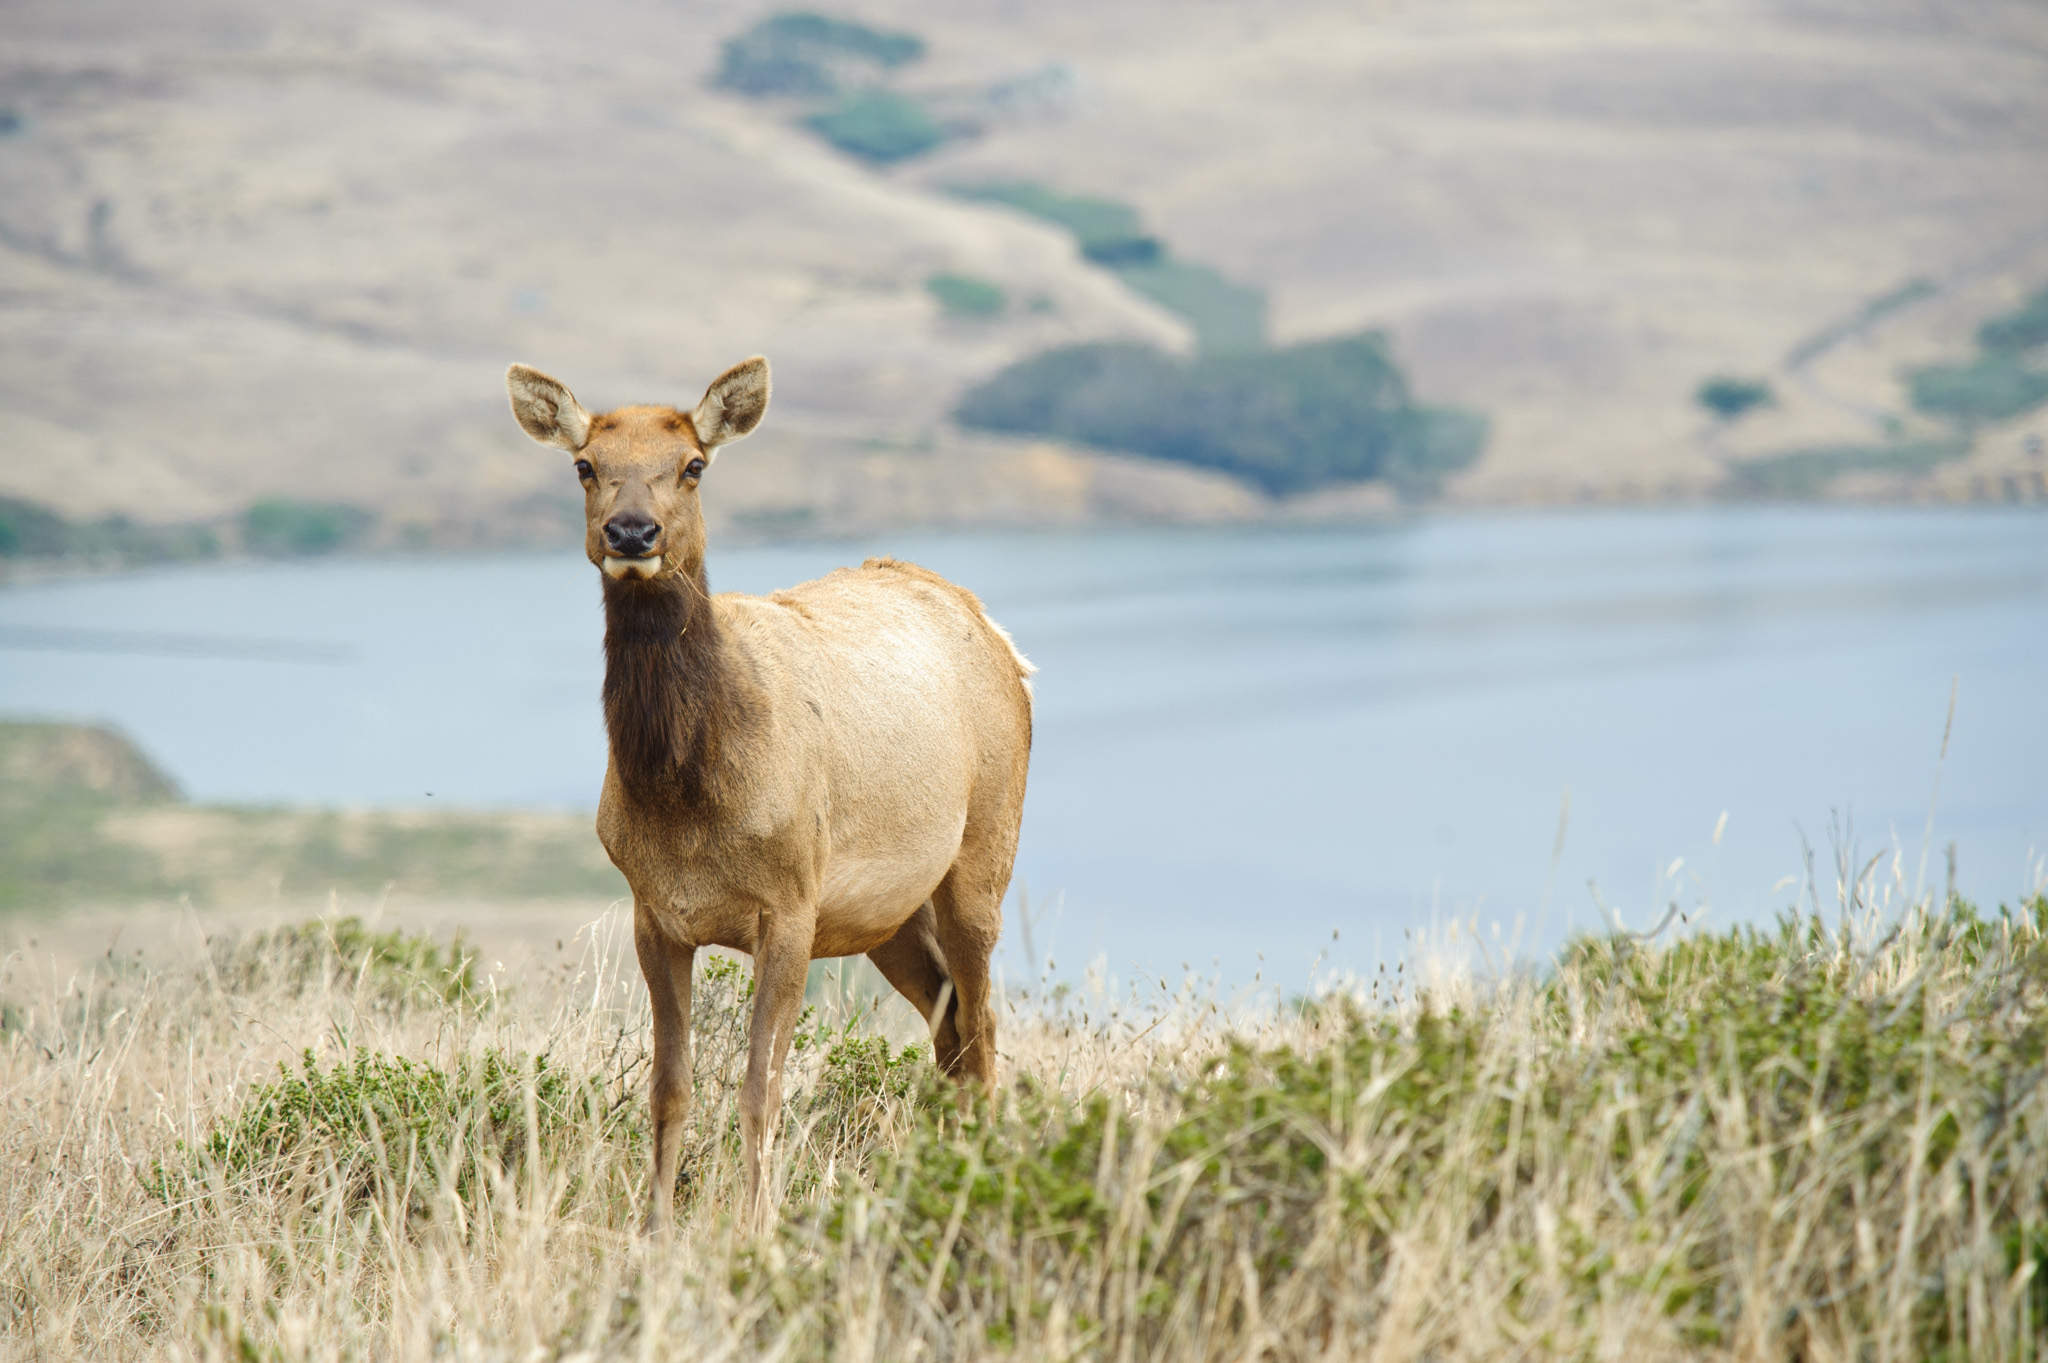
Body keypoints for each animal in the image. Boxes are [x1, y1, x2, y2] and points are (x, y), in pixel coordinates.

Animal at [505, 357, 1033, 1236]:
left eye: (693, 464)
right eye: (585, 465)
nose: (632, 533)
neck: (691, 802)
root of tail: (996, 630)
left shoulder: (790, 903)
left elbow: (761, 1088)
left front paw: (757, 1226)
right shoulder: (655, 912)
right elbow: (669, 1087)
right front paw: (653, 1229)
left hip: (984, 849)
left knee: (985, 1026)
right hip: (885, 914)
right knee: (950, 1022)